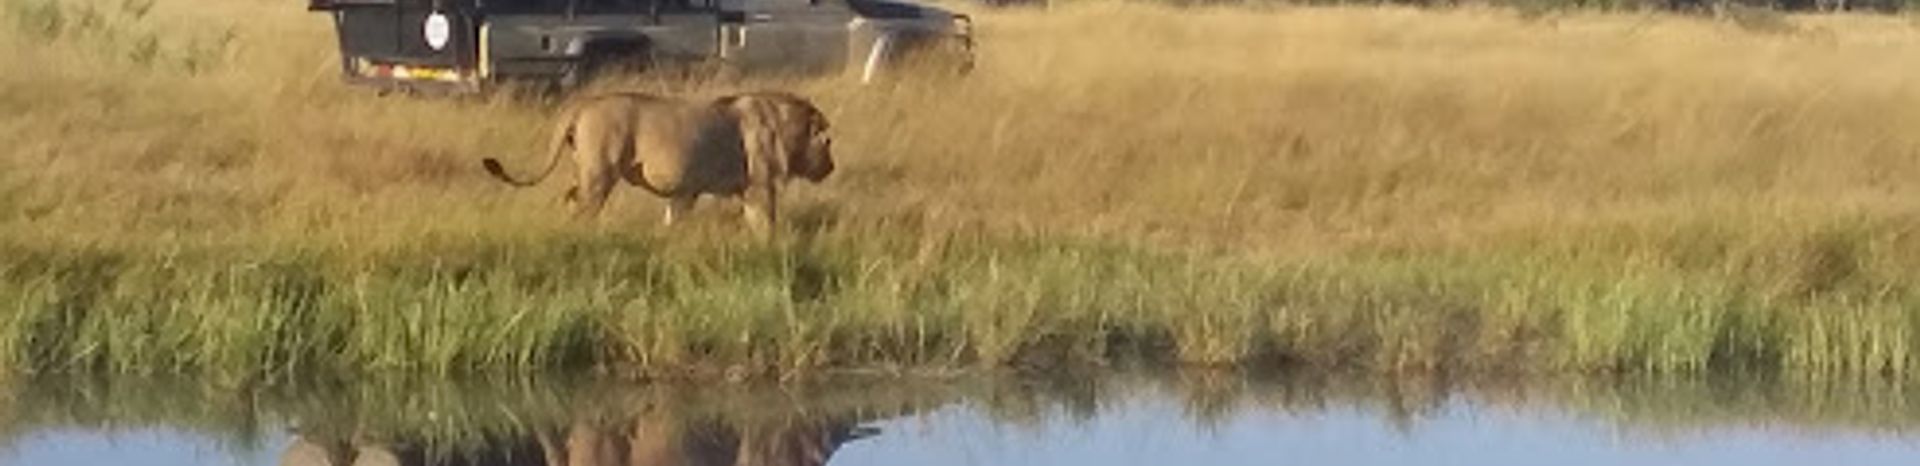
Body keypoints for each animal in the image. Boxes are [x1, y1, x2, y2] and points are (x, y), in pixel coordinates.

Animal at [480, 90, 834, 236]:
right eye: (828, 142)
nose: (831, 167)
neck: (784, 123)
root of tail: (584, 102)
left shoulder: (687, 191)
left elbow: (672, 220)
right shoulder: (759, 186)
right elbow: (765, 224)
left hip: (586, 171)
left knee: (569, 198)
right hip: (599, 175)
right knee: (582, 209)